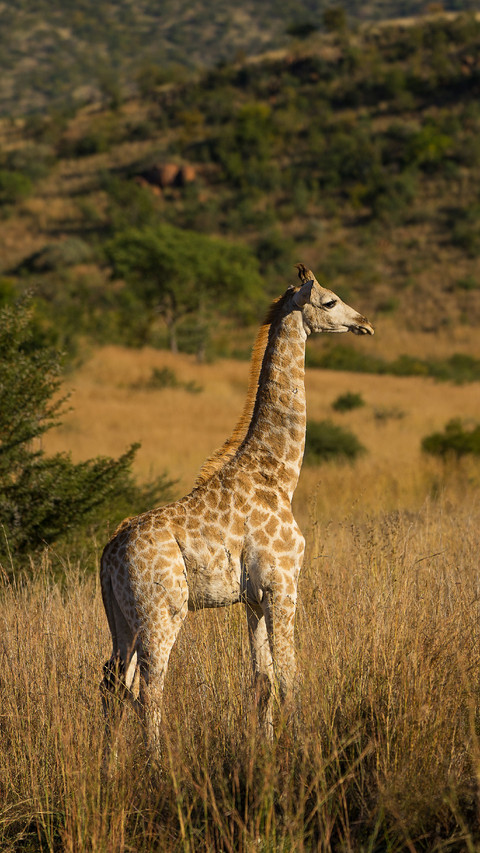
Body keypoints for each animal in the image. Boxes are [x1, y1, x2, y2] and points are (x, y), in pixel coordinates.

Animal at [100, 264, 374, 753]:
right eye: (330, 301)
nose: (364, 323)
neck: (279, 474)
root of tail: (108, 553)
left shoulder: (253, 597)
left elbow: (261, 680)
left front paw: (266, 752)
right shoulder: (283, 585)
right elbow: (290, 677)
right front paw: (304, 753)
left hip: (122, 619)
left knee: (114, 682)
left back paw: (109, 765)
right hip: (162, 611)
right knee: (150, 686)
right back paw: (156, 764)